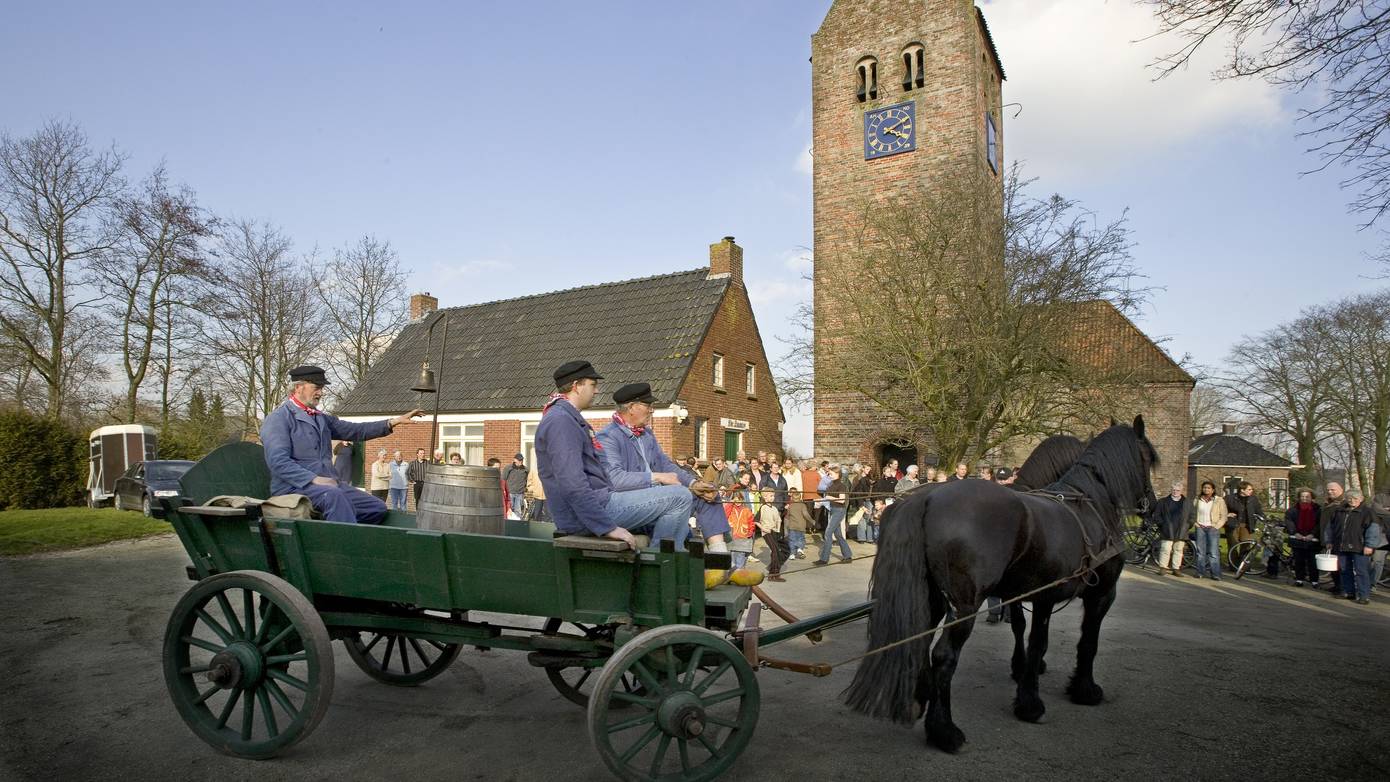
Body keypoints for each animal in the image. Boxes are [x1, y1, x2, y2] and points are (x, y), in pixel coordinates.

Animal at [839, 416, 1156, 750]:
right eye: (1149, 458)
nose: (1151, 507)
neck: (1090, 506)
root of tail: (926, 497)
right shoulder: (1102, 594)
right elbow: (1085, 642)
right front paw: (1078, 690)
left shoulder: (1037, 595)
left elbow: (1032, 638)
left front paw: (1027, 685)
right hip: (964, 605)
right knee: (944, 656)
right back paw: (944, 730)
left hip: (932, 596)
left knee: (920, 640)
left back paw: (920, 697)